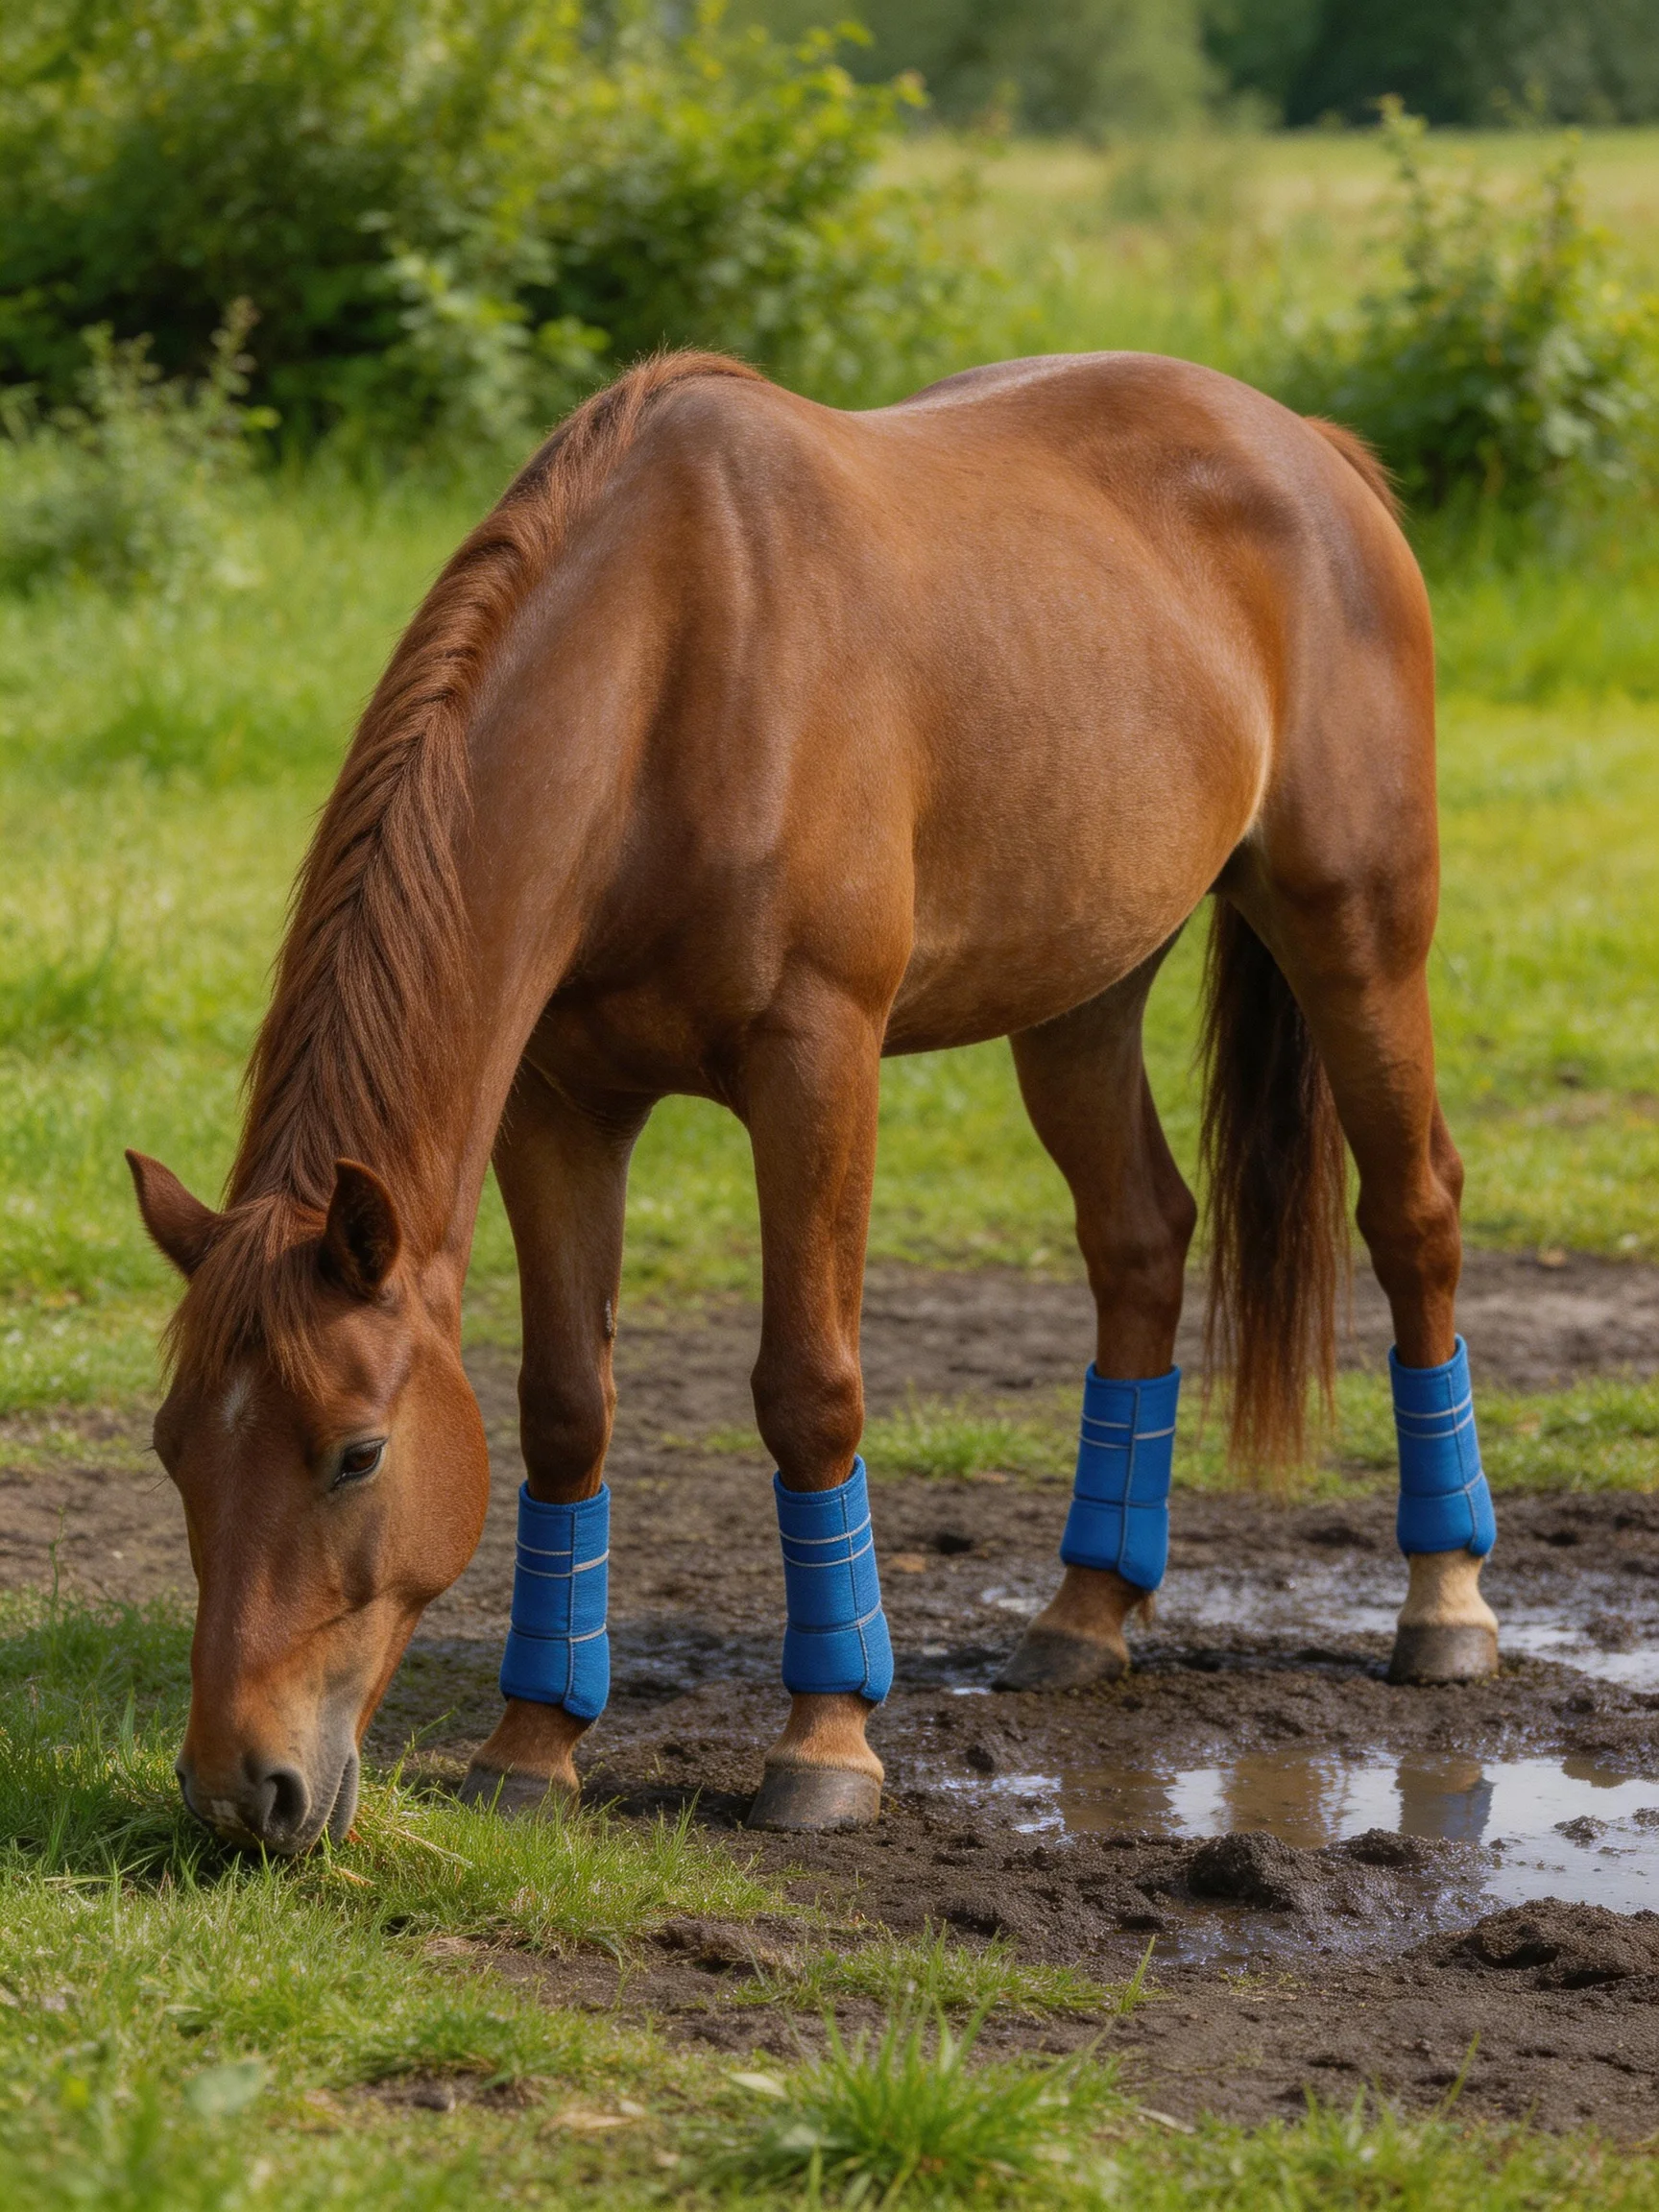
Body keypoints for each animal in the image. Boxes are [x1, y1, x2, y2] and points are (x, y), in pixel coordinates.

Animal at [129, 347, 1498, 1854]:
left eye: (358, 1456)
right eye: (173, 1449)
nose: (238, 1788)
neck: (671, 678)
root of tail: (1306, 446)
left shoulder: (817, 1064)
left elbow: (809, 1391)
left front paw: (827, 1742)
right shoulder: (560, 1105)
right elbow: (564, 1409)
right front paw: (533, 1746)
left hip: (1356, 931)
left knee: (1415, 1214)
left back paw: (1446, 1603)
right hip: (1082, 991)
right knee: (1142, 1239)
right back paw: (1087, 1614)